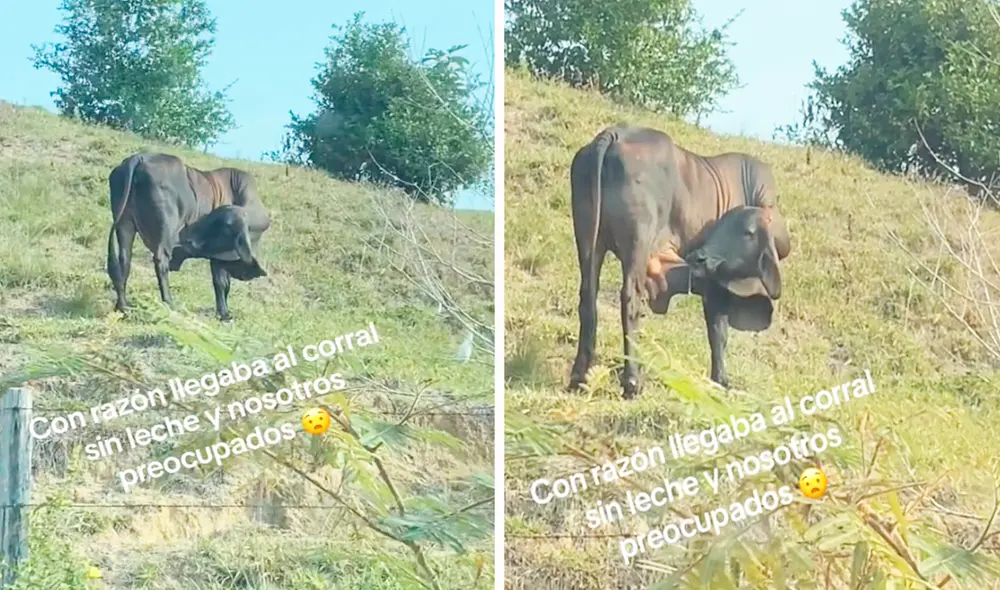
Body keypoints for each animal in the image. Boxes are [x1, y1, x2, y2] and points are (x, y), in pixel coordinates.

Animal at [106, 152, 271, 321]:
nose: (192, 241)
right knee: (161, 261)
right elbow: (221, 283)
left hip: (125, 224)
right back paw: (169, 304)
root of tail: (140, 158)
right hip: (165, 229)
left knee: (124, 261)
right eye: (224, 224)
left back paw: (123, 307)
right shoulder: (218, 258)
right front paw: (225, 314)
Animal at [568, 125, 791, 399]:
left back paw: (579, 377)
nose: (699, 257)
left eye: (746, 232)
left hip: (588, 240)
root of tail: (614, 134)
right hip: (637, 244)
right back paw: (632, 381)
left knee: (588, 296)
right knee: (630, 299)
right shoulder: (715, 287)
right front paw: (721, 380)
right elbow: (718, 332)